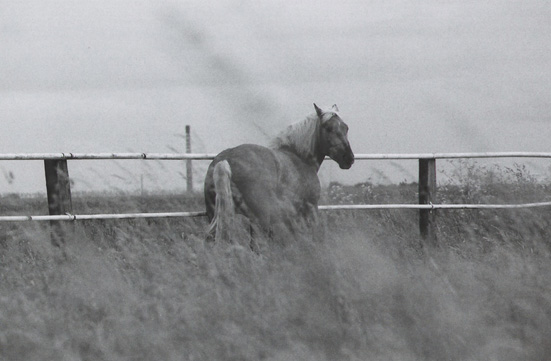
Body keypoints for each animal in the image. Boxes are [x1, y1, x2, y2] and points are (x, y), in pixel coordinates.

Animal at [205, 102, 356, 246]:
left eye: (346, 128)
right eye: (328, 128)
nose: (348, 158)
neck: (299, 158)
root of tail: (226, 160)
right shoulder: (310, 210)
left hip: (216, 215)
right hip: (259, 221)